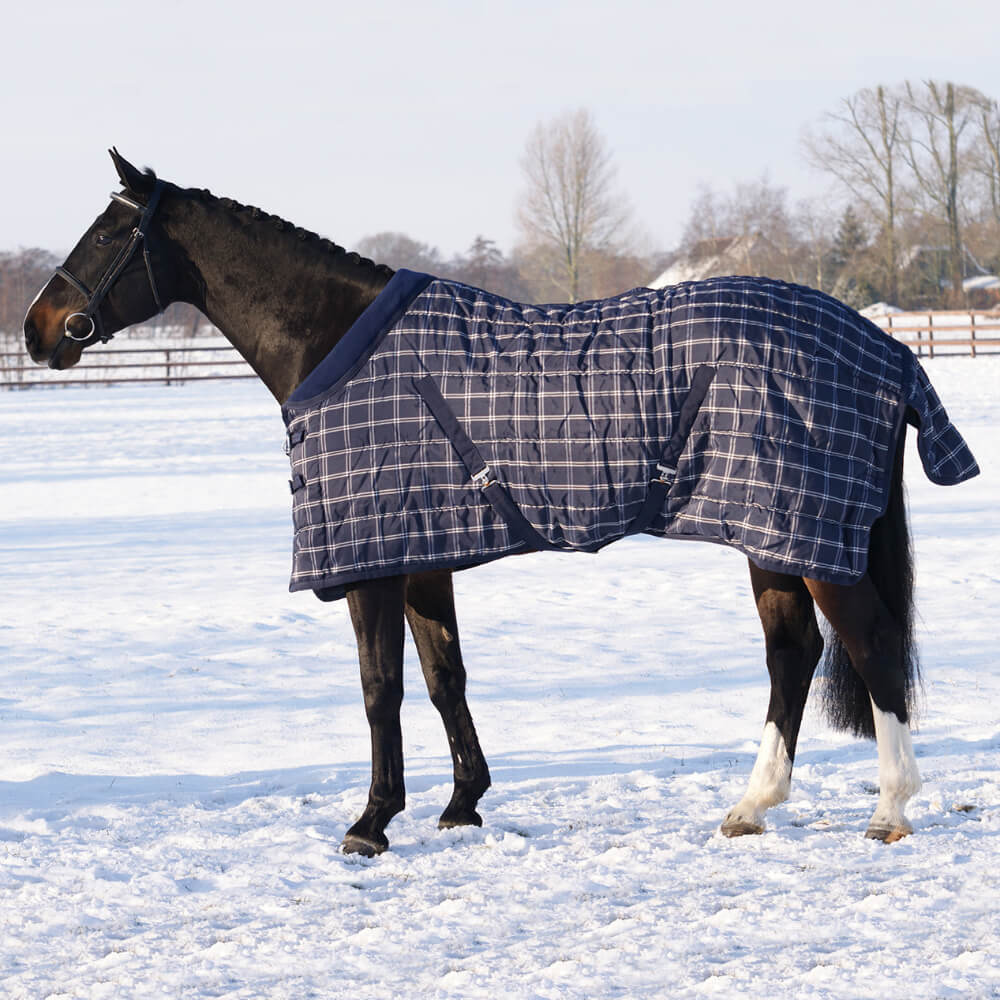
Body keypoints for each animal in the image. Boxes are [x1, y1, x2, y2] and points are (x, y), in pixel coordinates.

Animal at [23, 150, 978, 855]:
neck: (336, 342)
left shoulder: (374, 558)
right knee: (794, 654)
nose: (37, 328)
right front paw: (461, 805)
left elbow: (380, 687)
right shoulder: (423, 552)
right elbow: (444, 676)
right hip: (770, 532)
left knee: (871, 645)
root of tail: (884, 349)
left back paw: (889, 811)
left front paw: (372, 823)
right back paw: (751, 807)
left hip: (807, 536)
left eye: (110, 232)